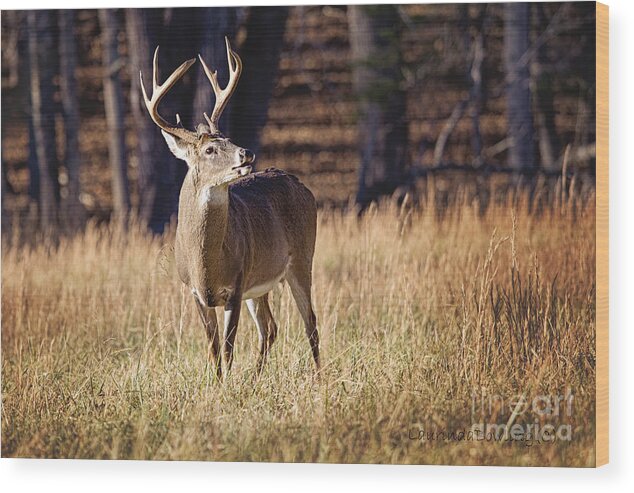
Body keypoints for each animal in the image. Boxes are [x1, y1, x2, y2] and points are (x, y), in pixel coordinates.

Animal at [142, 38, 320, 378]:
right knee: (270, 327)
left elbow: (227, 348)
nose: (246, 153)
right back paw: (256, 378)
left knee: (311, 324)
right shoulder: (196, 292)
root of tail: (302, 185)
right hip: (261, 283)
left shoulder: (236, 284)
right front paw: (216, 383)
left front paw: (226, 385)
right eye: (211, 149)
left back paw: (319, 379)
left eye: (229, 137)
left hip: (302, 259)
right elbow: (213, 350)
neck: (207, 263)